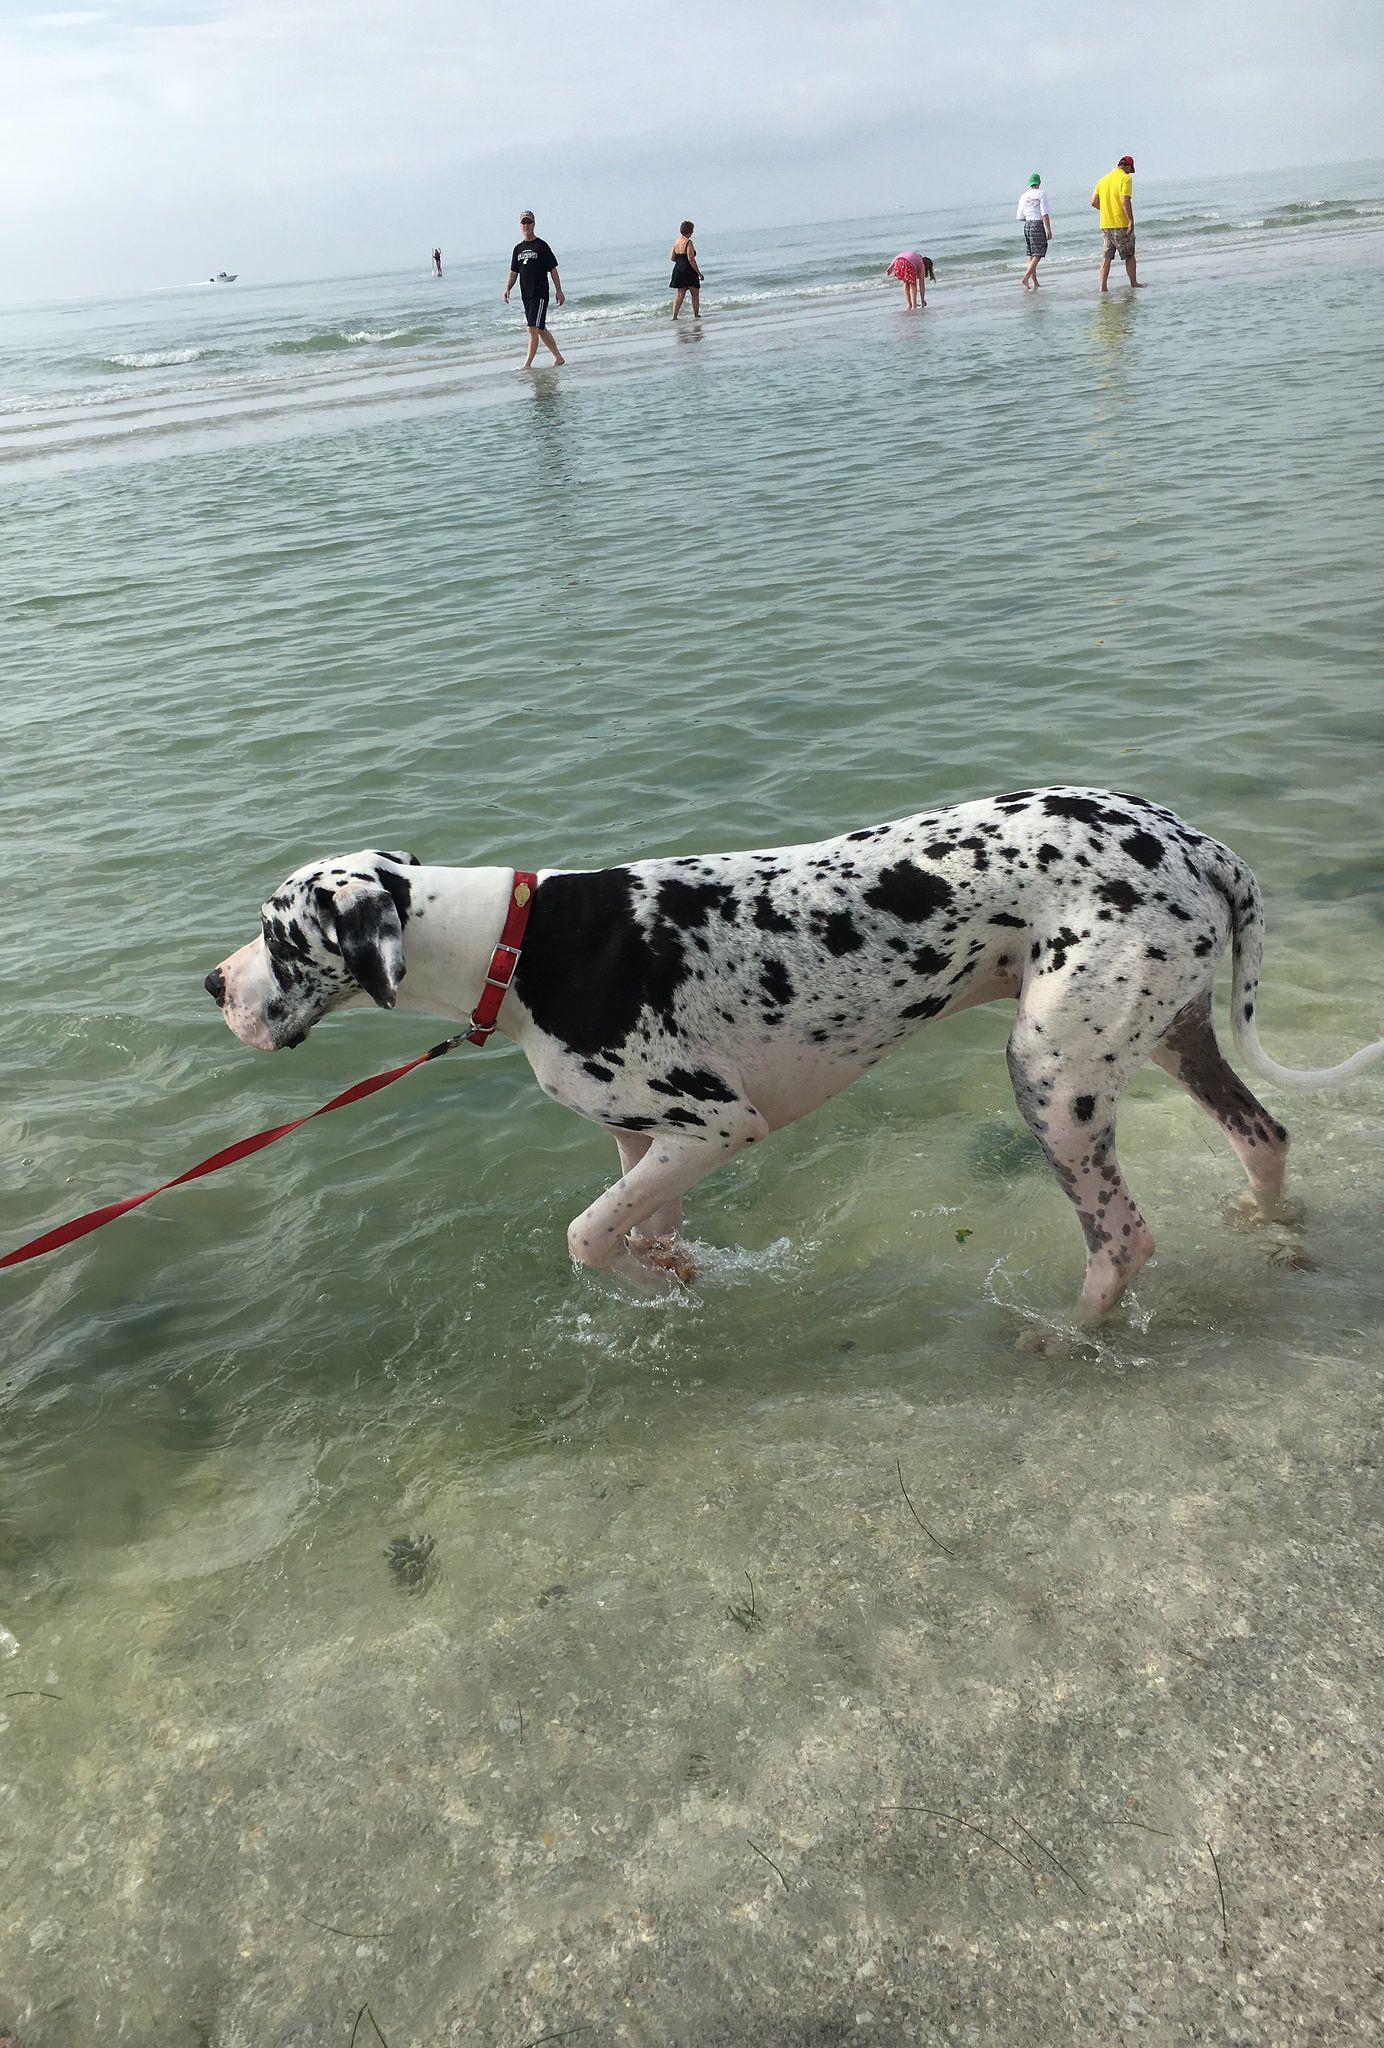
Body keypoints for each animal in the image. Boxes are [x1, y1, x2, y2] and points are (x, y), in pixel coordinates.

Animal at [205, 790, 1384, 1318]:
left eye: (278, 934)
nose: (213, 986)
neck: (514, 942)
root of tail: (1189, 837)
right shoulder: (643, 1142)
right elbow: (633, 1228)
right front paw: (670, 1274)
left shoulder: (716, 1123)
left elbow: (584, 1237)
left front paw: (648, 1281)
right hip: (1167, 1036)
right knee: (1264, 1136)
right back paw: (1267, 1229)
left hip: (1052, 1079)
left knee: (1125, 1239)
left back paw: (1065, 1338)